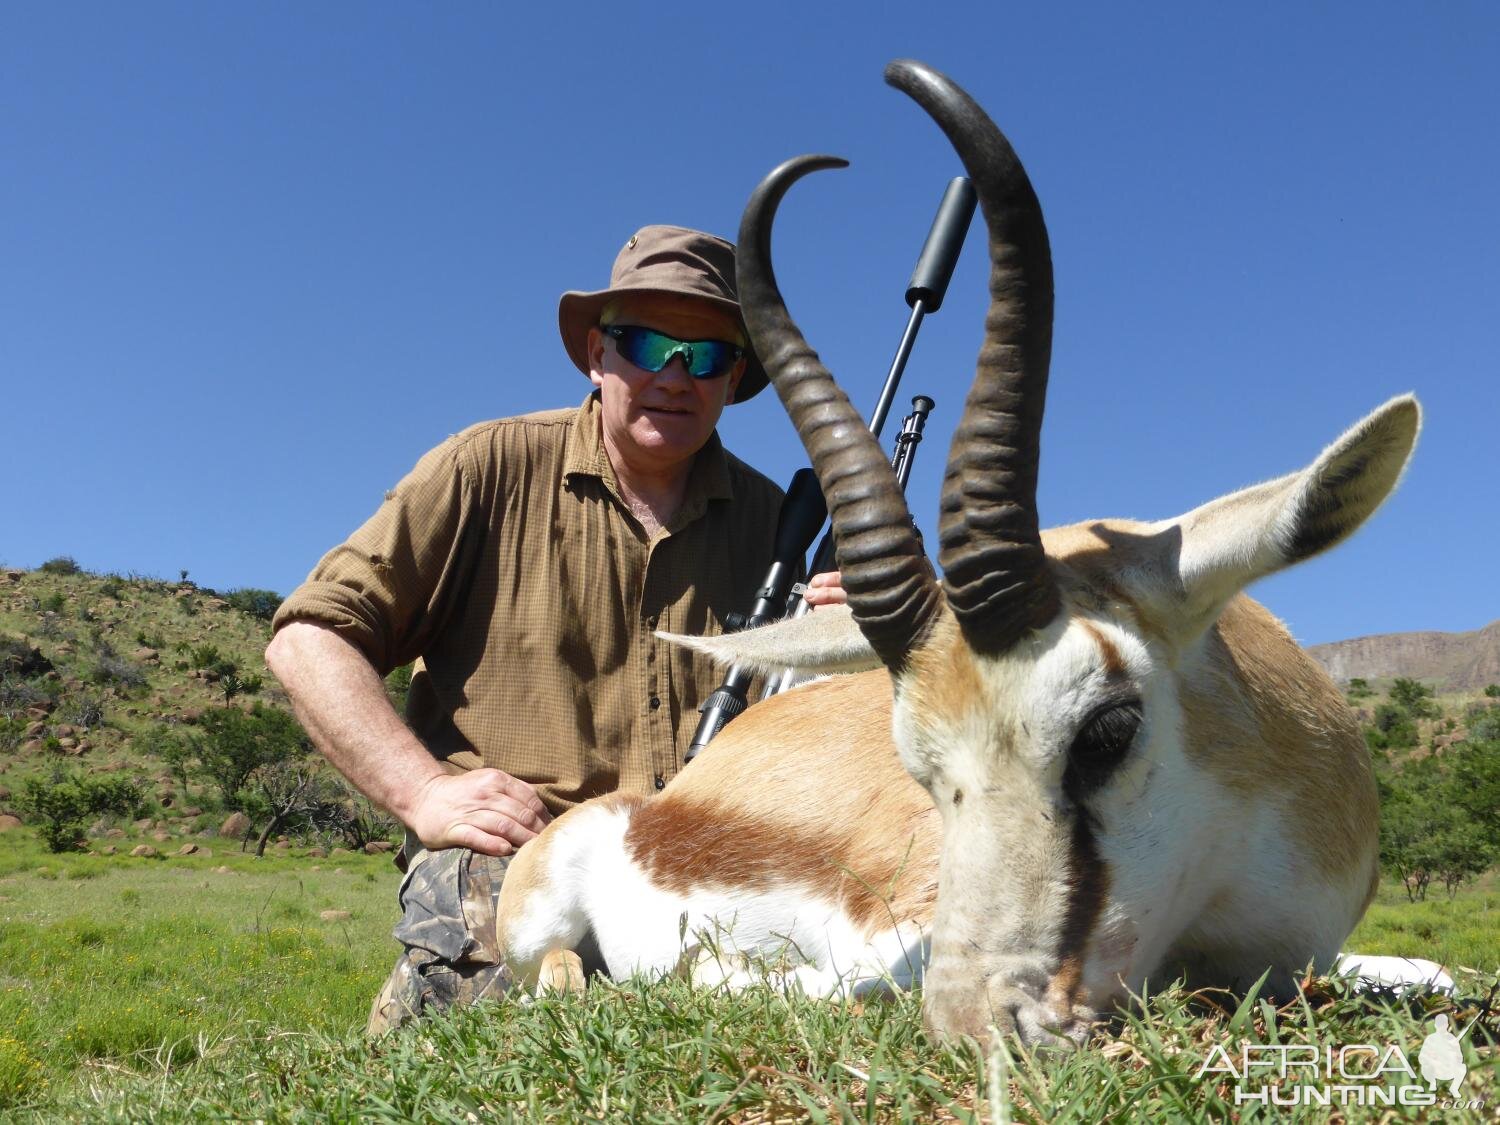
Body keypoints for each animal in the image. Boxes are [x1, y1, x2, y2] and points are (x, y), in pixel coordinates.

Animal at [495, 61, 1428, 1050]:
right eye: (920, 764)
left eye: (1108, 729)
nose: (982, 1017)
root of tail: (661, 797)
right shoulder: (887, 930)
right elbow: (808, 980)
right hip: (540, 927)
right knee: (555, 976)